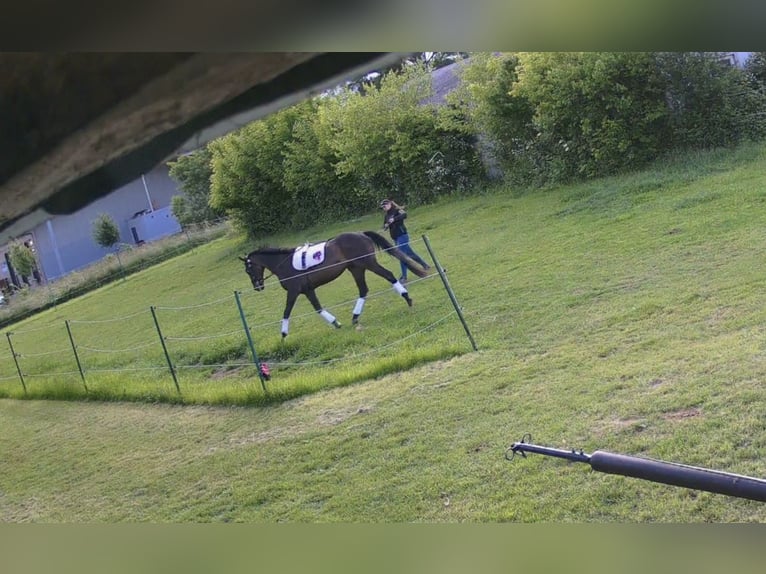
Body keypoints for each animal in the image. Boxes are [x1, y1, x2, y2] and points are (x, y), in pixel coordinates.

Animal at [240, 231, 429, 337]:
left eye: (248, 269)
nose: (257, 286)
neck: (283, 264)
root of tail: (360, 234)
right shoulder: (308, 290)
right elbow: (317, 308)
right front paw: (336, 323)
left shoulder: (293, 291)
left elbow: (286, 311)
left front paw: (284, 334)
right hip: (356, 268)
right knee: (363, 290)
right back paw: (355, 317)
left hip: (368, 263)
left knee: (388, 276)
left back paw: (407, 298)